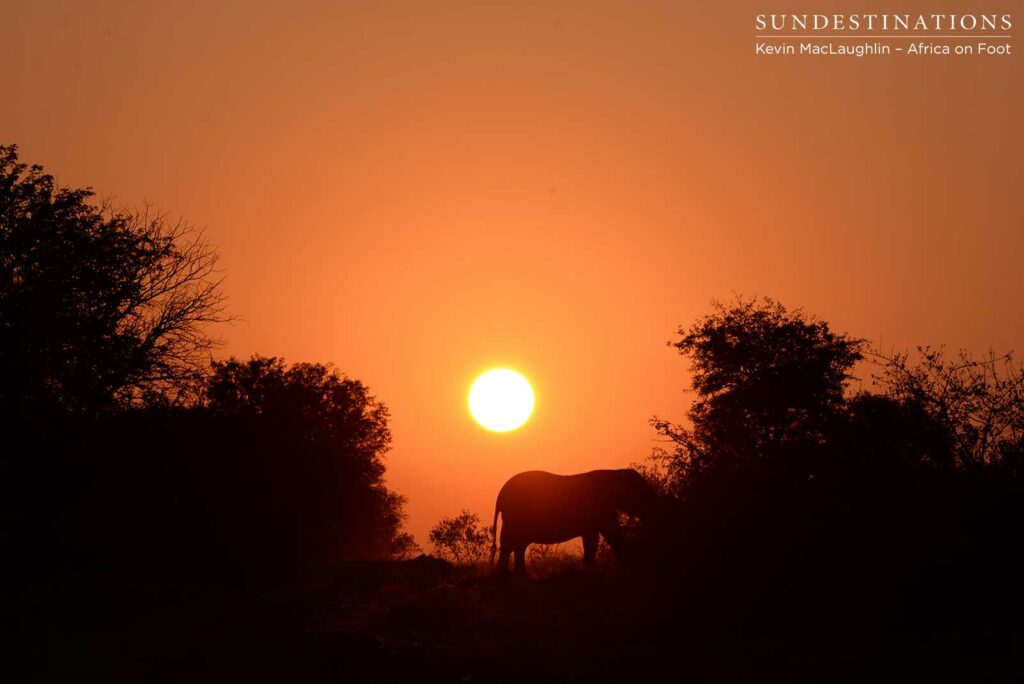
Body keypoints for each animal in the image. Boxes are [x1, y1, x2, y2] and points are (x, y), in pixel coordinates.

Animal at [489, 468, 659, 574]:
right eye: (640, 491)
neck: (614, 472)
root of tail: (500, 496)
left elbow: (593, 537)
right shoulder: (599, 509)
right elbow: (606, 533)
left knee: (516, 544)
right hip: (516, 516)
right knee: (512, 543)